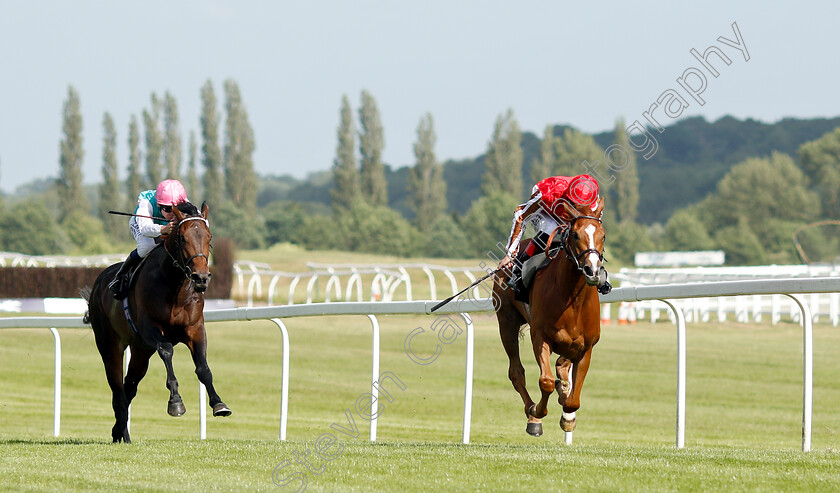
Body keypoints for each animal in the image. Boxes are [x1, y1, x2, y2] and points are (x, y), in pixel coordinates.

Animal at [84, 200, 231, 442]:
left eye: (209, 236)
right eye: (183, 238)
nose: (201, 277)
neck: (175, 287)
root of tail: (98, 284)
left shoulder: (195, 329)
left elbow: (203, 368)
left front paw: (219, 404)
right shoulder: (150, 329)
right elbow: (167, 350)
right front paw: (176, 402)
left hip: (141, 351)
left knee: (129, 386)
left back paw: (119, 431)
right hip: (110, 345)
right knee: (117, 388)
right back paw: (122, 432)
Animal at [496, 195, 608, 434]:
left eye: (602, 235)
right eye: (575, 235)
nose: (592, 271)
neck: (573, 300)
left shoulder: (586, 347)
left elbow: (573, 400)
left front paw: (568, 415)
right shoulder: (540, 337)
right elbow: (545, 381)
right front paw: (536, 413)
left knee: (561, 366)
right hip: (507, 323)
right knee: (516, 372)